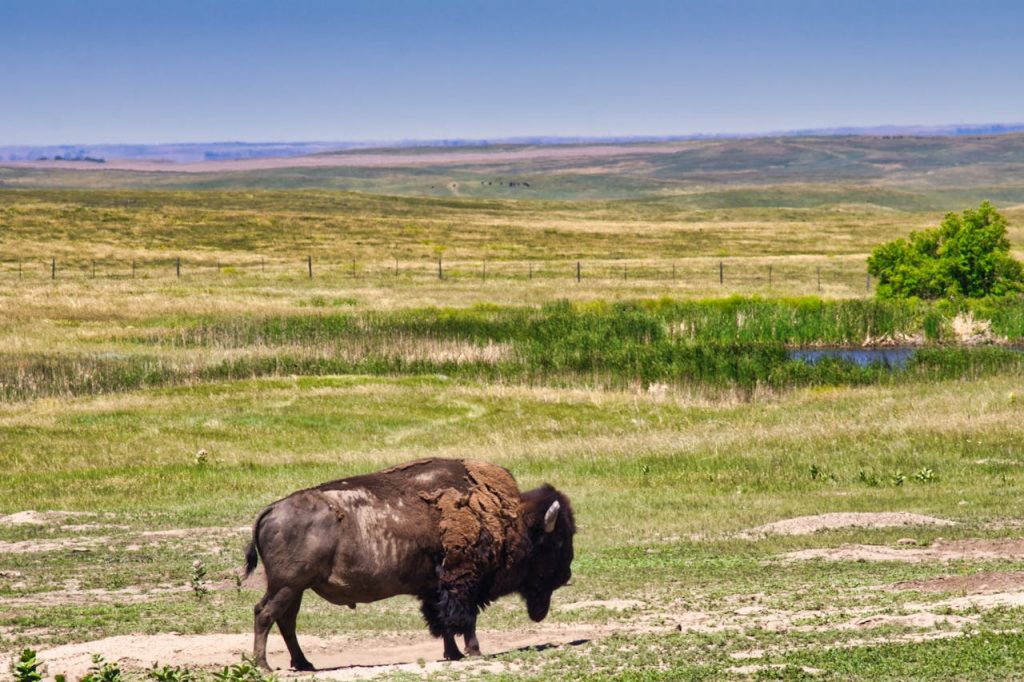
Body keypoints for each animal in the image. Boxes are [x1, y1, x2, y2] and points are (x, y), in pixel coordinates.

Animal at [244, 458, 575, 670]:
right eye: (557, 541)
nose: (566, 574)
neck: (505, 517)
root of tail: (272, 509)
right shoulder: (462, 583)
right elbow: (465, 619)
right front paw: (474, 652)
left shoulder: (435, 588)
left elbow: (442, 622)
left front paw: (453, 654)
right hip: (287, 585)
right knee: (264, 614)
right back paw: (264, 666)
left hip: (295, 588)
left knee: (285, 620)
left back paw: (303, 664)